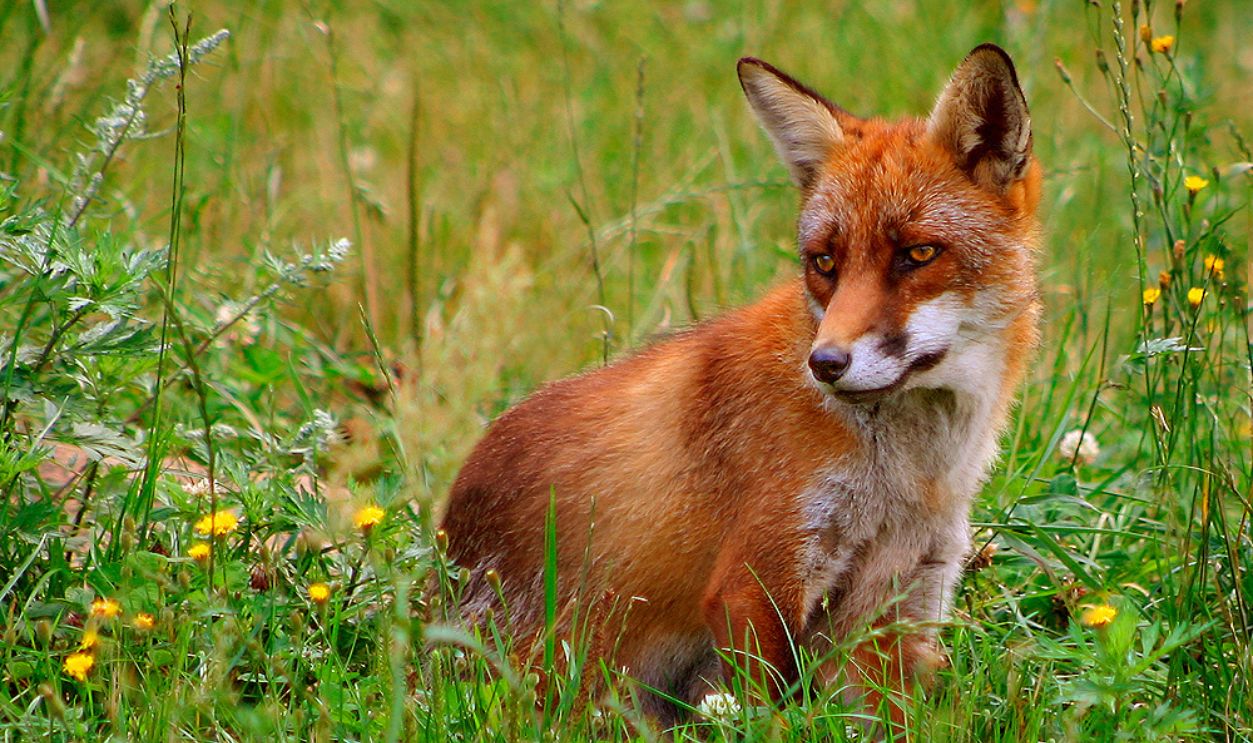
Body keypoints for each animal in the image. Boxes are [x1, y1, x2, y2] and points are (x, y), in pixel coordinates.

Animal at [440, 43, 1042, 725]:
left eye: (917, 254)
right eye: (824, 262)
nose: (824, 363)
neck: (908, 476)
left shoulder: (901, 598)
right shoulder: (756, 577)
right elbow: (766, 713)